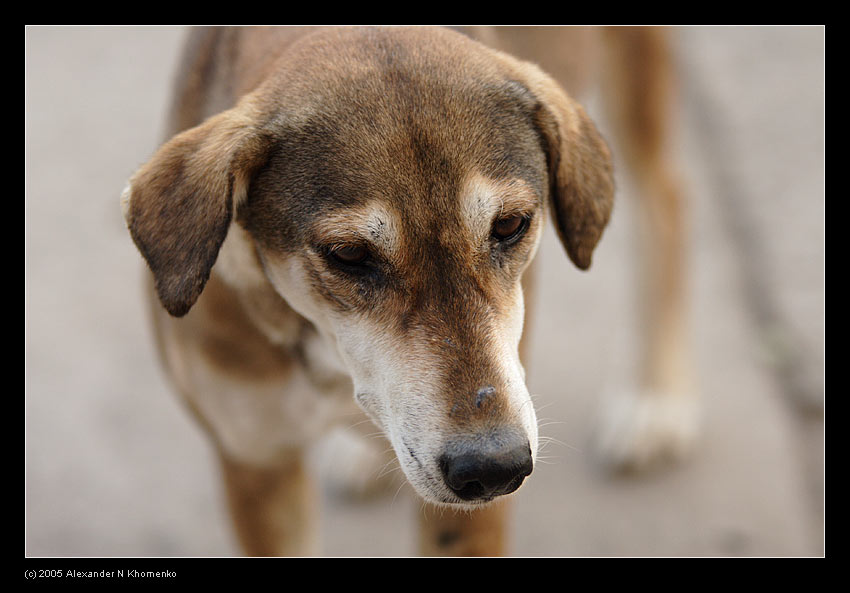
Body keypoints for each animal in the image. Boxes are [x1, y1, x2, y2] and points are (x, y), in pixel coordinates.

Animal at [117, 26, 688, 556]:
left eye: (509, 225)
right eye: (348, 254)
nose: (494, 466)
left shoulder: (471, 516)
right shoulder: (255, 461)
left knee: (666, 202)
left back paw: (655, 400)